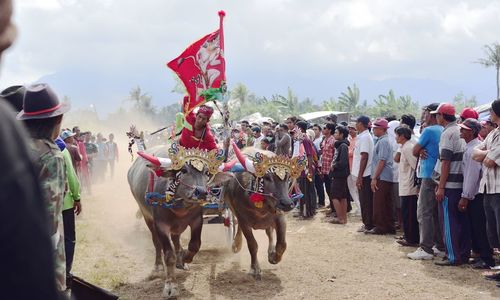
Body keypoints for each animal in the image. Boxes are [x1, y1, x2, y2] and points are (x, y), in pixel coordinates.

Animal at [128, 145, 231, 298]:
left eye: (207, 172)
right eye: (183, 170)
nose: (201, 192)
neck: (180, 205)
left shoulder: (197, 220)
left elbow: (195, 245)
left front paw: (185, 258)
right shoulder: (161, 225)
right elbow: (168, 254)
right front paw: (171, 286)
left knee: (176, 238)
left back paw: (180, 260)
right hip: (146, 216)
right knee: (156, 242)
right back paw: (158, 267)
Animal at [222, 144, 306, 280]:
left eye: (288, 178)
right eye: (267, 178)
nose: (287, 203)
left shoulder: (280, 217)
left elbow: (282, 244)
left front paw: (274, 257)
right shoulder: (243, 220)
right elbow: (252, 244)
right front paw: (255, 268)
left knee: (269, 233)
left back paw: (270, 251)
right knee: (239, 227)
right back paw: (236, 244)